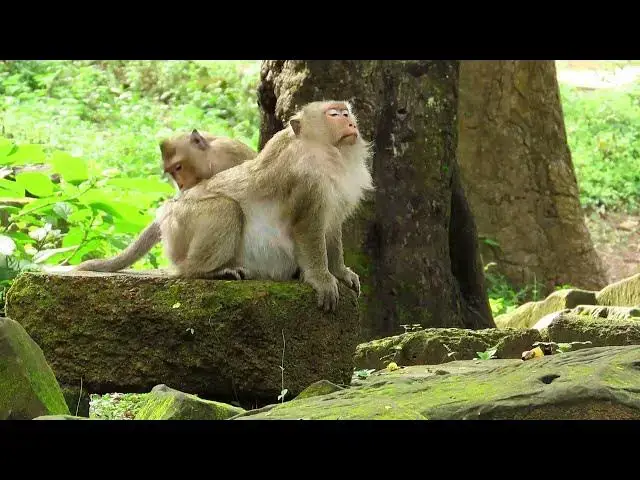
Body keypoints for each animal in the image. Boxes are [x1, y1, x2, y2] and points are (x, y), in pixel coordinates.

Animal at [74, 130, 257, 276]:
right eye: (171, 172)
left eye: (178, 167)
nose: (181, 184)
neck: (212, 157)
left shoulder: (228, 152)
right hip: (177, 232)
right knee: (226, 207)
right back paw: (201, 271)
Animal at [161, 100, 374, 311]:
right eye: (334, 114)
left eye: (345, 113)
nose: (349, 121)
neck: (324, 150)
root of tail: (166, 216)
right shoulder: (307, 179)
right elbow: (308, 226)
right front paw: (321, 278)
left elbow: (332, 227)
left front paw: (340, 271)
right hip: (182, 221)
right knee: (226, 208)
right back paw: (204, 271)